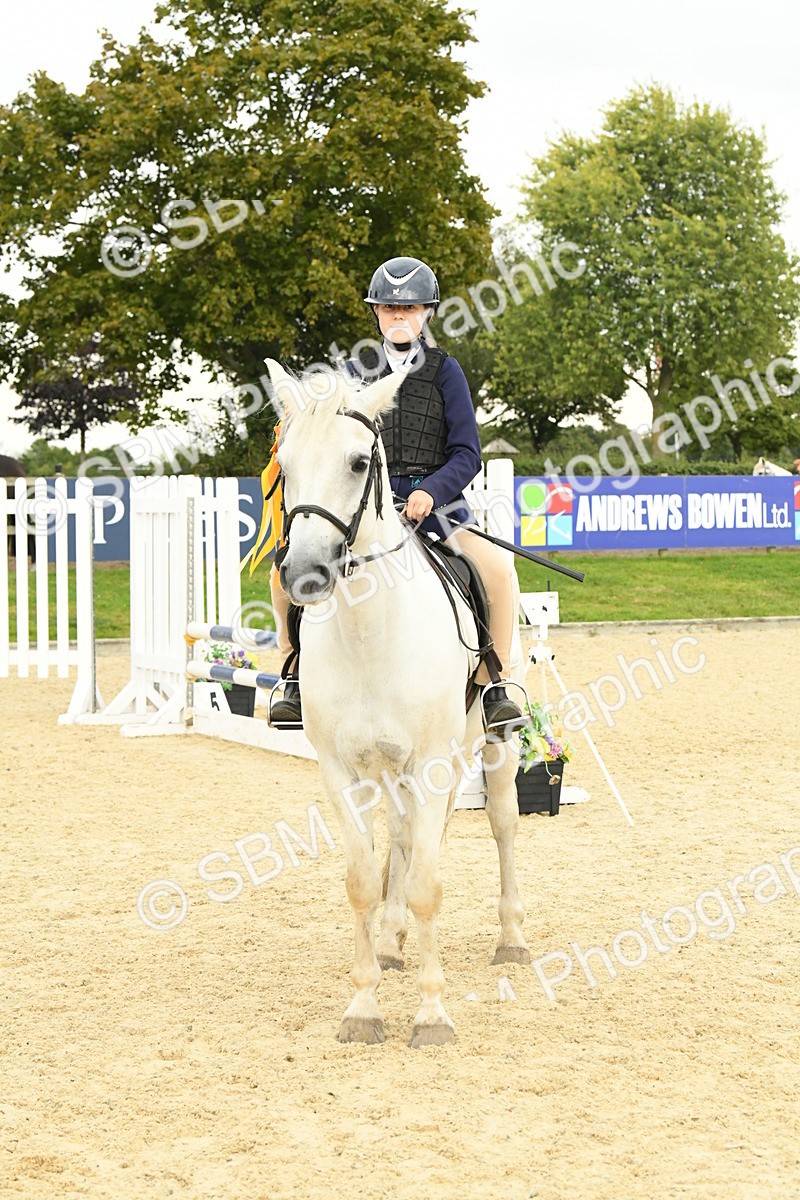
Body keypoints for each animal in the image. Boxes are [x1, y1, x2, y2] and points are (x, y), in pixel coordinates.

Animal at [265, 360, 529, 1048]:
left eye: (361, 462)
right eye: (286, 465)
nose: (304, 573)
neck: (369, 633)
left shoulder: (432, 760)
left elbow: (429, 885)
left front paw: (432, 1015)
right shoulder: (342, 770)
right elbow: (363, 880)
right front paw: (363, 1006)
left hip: (492, 743)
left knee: (502, 824)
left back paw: (512, 939)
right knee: (405, 835)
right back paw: (390, 942)